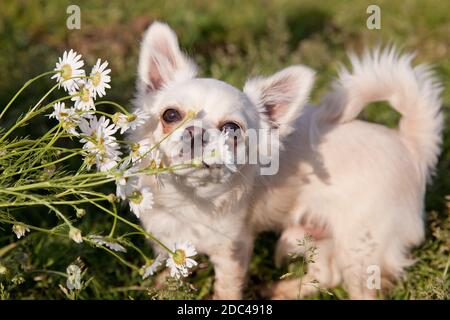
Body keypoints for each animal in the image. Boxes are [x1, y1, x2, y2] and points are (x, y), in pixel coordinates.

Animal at [130, 21, 442, 298]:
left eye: (232, 129)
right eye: (170, 115)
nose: (196, 132)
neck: (188, 195)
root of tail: (410, 145)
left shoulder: (232, 250)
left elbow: (226, 289)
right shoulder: (168, 236)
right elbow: (175, 266)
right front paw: (163, 286)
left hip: (359, 248)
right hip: (307, 233)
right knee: (327, 274)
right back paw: (282, 291)